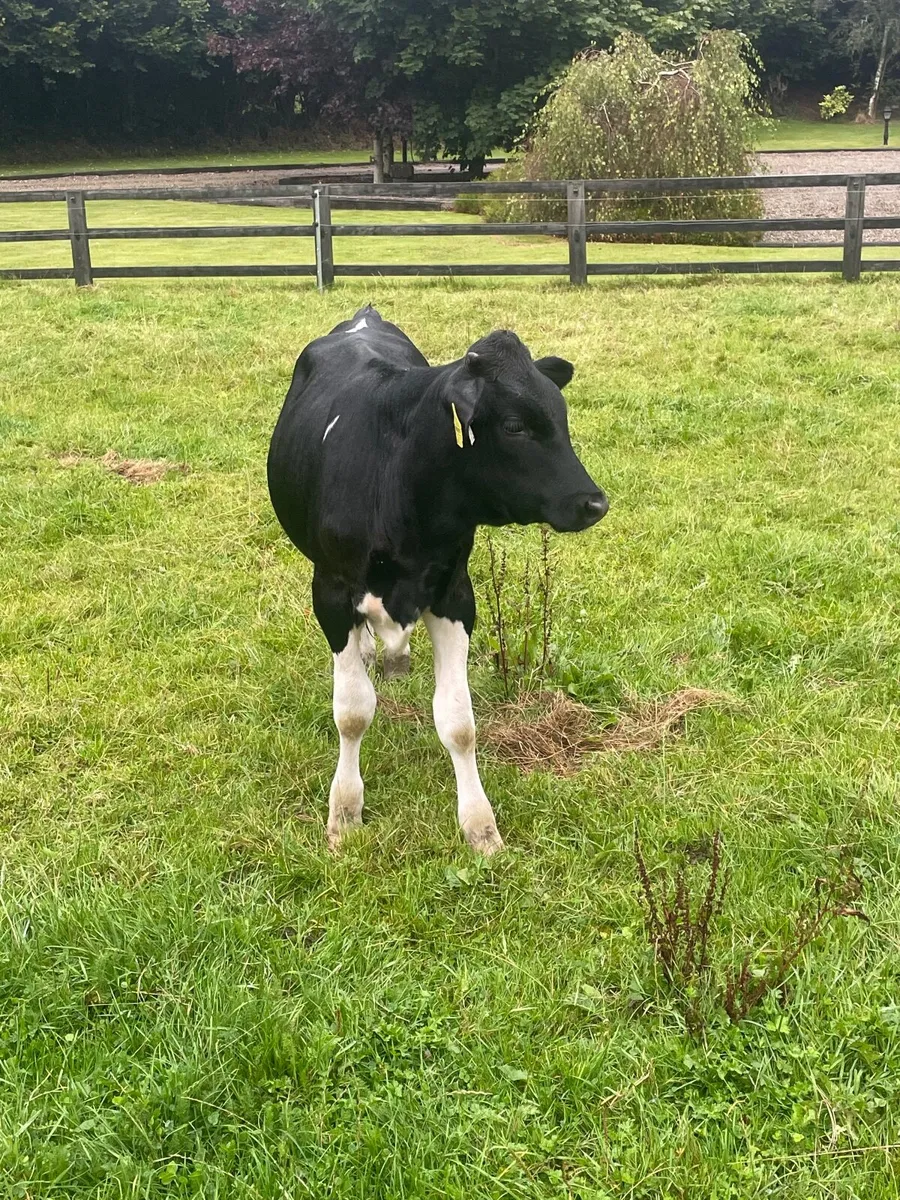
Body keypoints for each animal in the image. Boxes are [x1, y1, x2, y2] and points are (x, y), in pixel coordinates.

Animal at [267, 305, 607, 854]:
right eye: (514, 425)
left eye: (561, 416)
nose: (594, 502)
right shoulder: (332, 593)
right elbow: (353, 711)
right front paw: (344, 813)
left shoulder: (454, 594)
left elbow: (459, 722)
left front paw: (480, 826)